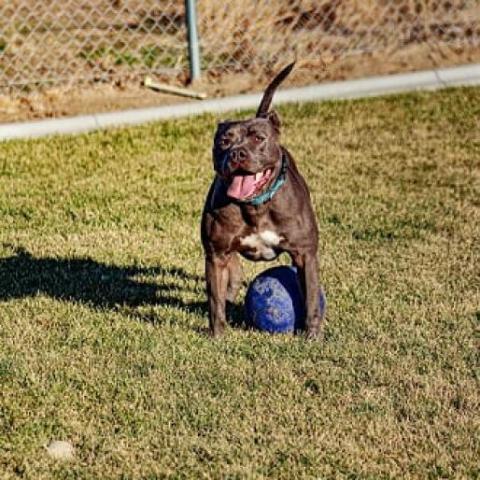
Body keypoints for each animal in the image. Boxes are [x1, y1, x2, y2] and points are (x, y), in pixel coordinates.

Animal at [201, 62, 324, 338]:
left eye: (258, 138)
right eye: (224, 141)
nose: (237, 153)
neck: (255, 206)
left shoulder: (305, 254)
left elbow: (311, 297)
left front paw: (312, 335)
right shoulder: (216, 253)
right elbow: (215, 300)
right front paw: (218, 335)